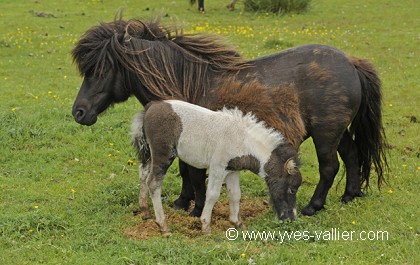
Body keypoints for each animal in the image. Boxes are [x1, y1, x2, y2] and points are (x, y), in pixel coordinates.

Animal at [71, 18, 388, 217]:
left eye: (100, 70)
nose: (78, 112)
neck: (187, 83)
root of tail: (351, 62)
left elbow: (193, 173)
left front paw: (196, 208)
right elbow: (185, 170)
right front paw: (183, 202)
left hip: (325, 134)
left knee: (329, 167)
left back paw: (314, 206)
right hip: (337, 132)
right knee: (352, 156)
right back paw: (349, 195)